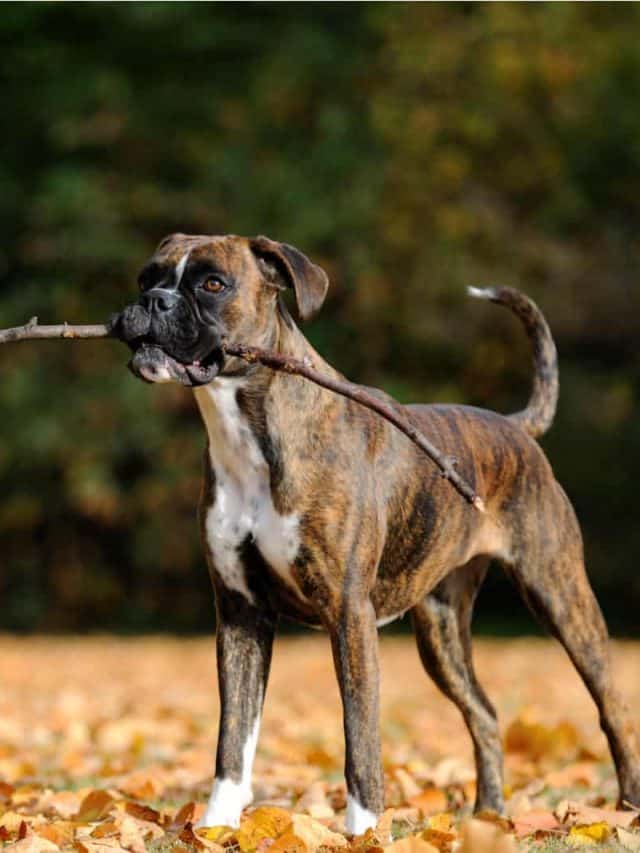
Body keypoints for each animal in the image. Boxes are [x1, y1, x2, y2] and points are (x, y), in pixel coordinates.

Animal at [112, 233, 640, 832]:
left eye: (212, 284)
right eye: (146, 277)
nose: (153, 301)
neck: (251, 429)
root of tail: (514, 426)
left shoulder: (349, 615)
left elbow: (359, 737)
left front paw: (364, 832)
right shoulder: (241, 615)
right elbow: (234, 738)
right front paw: (215, 828)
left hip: (561, 596)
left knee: (612, 707)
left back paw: (624, 810)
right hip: (441, 633)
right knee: (484, 713)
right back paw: (487, 818)